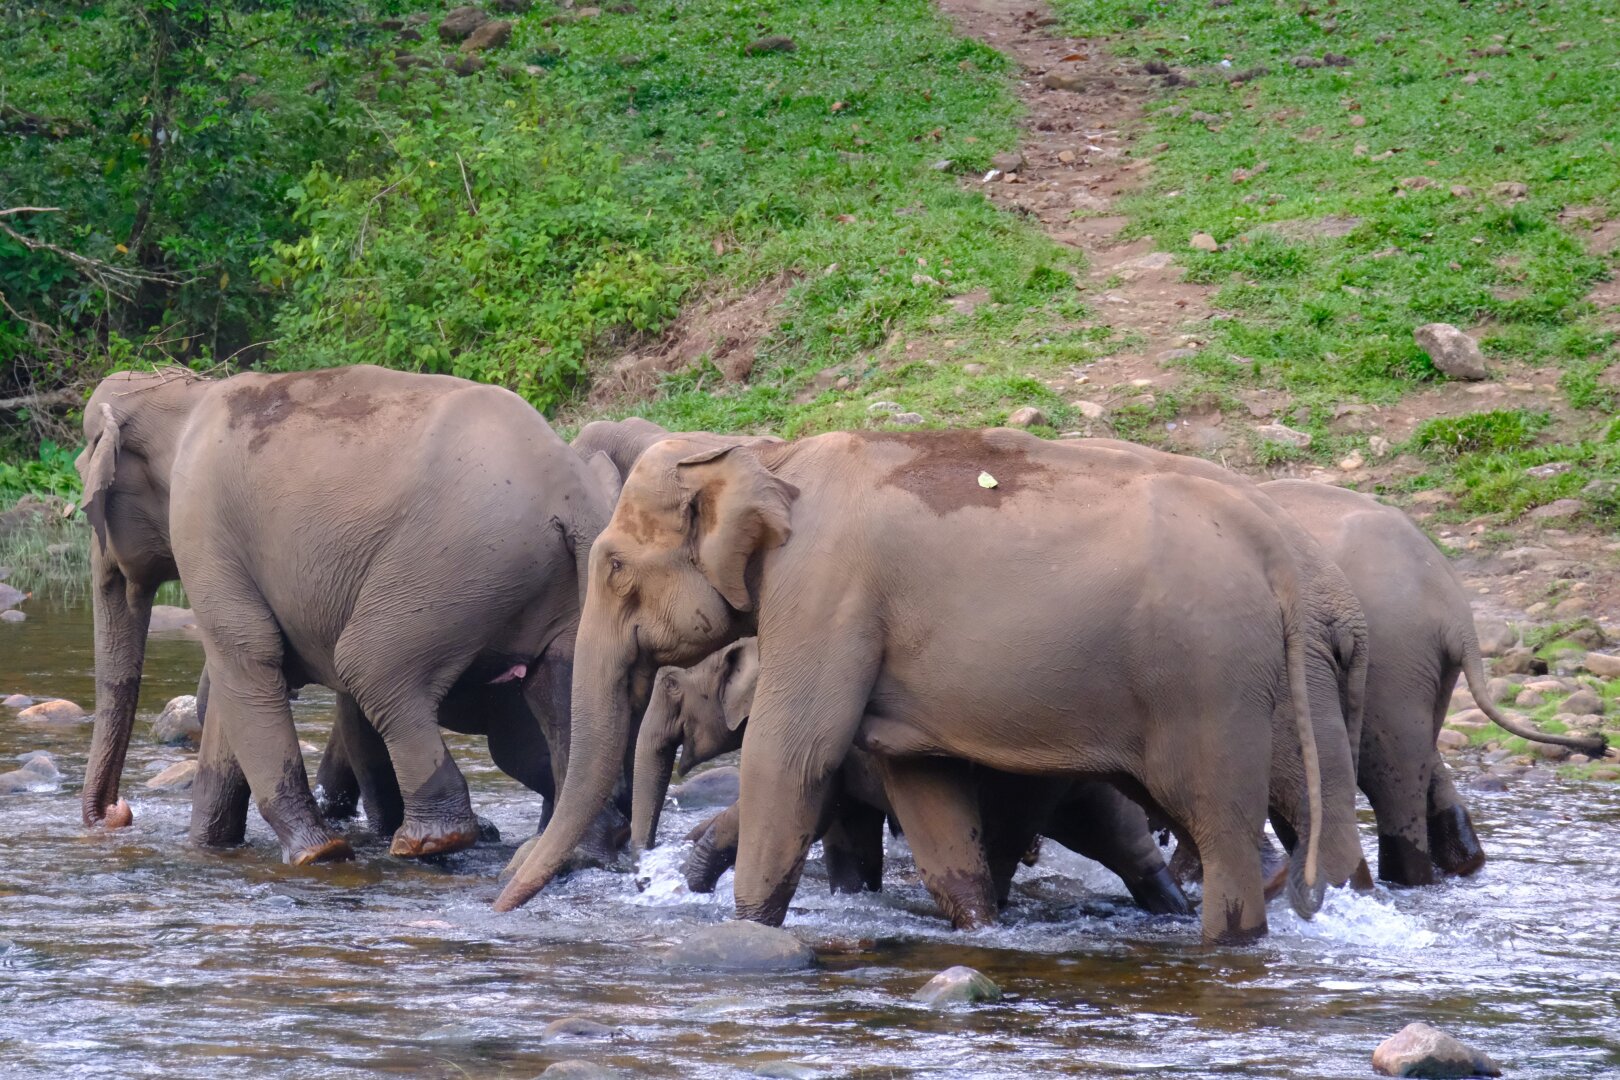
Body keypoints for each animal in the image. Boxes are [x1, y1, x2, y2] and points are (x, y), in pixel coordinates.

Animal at [76, 365, 612, 865]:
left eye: (87, 510)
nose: (117, 814)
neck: (182, 394)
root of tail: (574, 494)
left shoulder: (200, 519)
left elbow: (246, 656)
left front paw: (317, 854)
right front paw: (212, 847)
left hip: (455, 564)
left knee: (370, 666)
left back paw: (425, 841)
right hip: (541, 581)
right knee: (557, 689)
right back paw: (580, 849)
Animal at [632, 636, 1192, 916]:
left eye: (671, 683)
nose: (639, 873)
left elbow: (816, 812)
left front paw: (691, 875)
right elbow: (847, 831)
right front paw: (854, 897)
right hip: (1079, 779)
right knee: (1125, 844)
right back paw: (1175, 909)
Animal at [1260, 479, 1607, 885]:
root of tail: (1455, 611)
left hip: (1392, 656)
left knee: (1391, 777)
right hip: (1418, 667)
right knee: (1420, 756)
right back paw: (1460, 866)